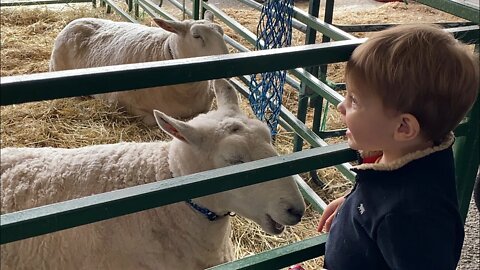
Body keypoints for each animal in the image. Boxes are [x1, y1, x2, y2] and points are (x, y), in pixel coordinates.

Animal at [48, 12, 229, 125]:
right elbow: (152, 120)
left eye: (222, 32)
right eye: (196, 36)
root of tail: (74, 22)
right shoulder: (122, 104)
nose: (227, 59)